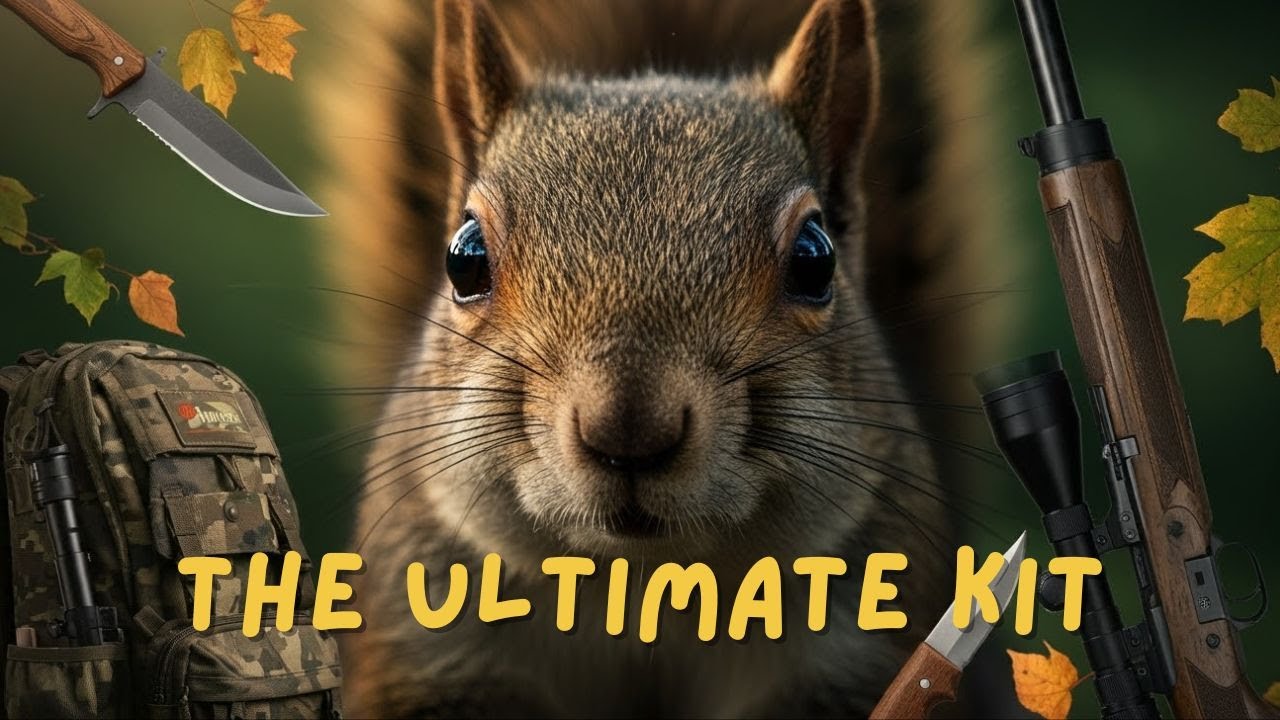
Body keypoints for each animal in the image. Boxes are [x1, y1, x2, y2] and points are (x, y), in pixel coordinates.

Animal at [314, 0, 1017, 716]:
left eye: (814, 260)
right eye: (465, 258)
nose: (628, 431)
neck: (645, 589)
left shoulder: (853, 652)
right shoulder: (430, 647)